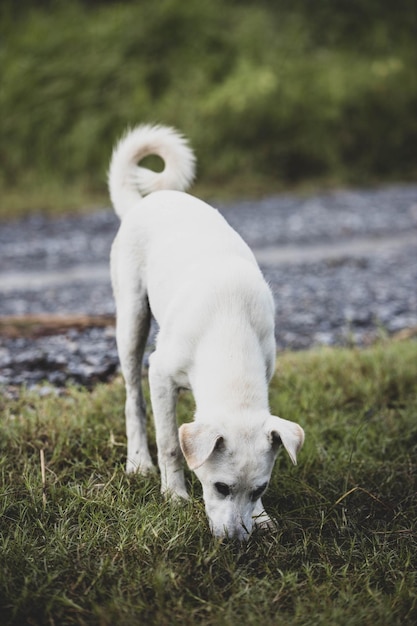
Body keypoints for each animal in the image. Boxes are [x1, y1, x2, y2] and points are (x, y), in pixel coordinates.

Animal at [108, 124, 302, 540]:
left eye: (259, 489)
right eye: (220, 487)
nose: (236, 542)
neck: (230, 330)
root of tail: (145, 202)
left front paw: (261, 518)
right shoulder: (161, 374)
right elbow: (169, 442)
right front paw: (174, 496)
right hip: (131, 321)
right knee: (133, 400)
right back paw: (139, 462)